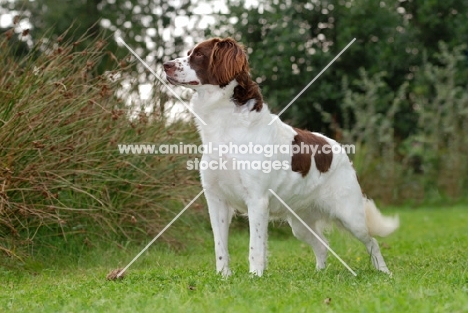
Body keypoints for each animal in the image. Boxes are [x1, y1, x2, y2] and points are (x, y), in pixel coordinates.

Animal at [165, 37, 398, 276]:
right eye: (189, 53)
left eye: (199, 54)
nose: (166, 65)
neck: (225, 124)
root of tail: (338, 148)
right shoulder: (216, 200)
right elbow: (220, 246)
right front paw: (223, 276)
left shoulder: (257, 200)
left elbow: (255, 246)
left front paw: (255, 276)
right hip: (300, 223)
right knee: (322, 244)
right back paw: (320, 273)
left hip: (349, 215)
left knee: (372, 241)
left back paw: (384, 272)